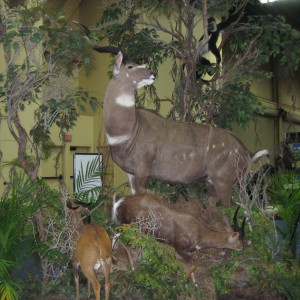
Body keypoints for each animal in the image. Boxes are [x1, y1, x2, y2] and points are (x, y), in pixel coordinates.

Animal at [103, 51, 270, 206]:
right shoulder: (130, 172)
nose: (152, 73)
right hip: (216, 181)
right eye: (130, 66)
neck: (128, 132)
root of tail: (247, 153)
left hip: (224, 179)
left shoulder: (143, 166)